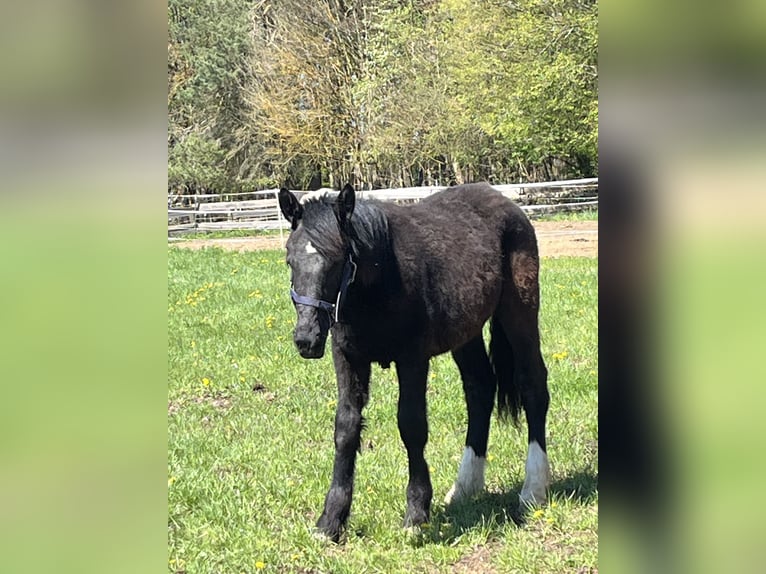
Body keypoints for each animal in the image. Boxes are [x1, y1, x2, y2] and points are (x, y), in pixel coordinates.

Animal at [278, 183, 550, 542]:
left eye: (338, 259)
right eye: (289, 259)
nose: (306, 339)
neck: (382, 278)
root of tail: (505, 201)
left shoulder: (412, 359)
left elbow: (412, 425)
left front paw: (416, 516)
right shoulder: (347, 358)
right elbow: (346, 428)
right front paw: (330, 521)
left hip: (519, 310)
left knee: (533, 385)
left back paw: (533, 490)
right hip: (467, 332)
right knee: (480, 388)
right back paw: (465, 487)